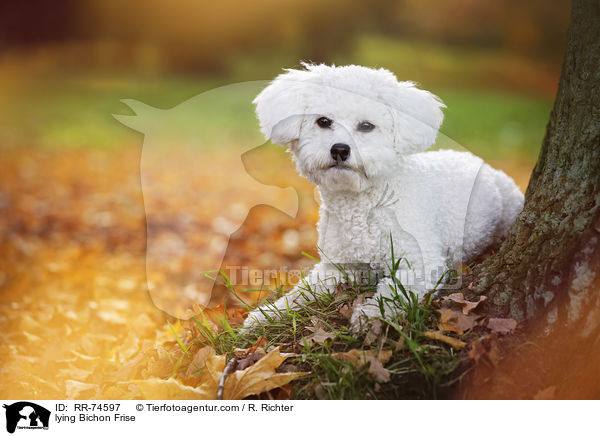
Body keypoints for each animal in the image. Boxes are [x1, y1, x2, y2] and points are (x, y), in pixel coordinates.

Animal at [241, 63, 524, 330]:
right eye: (323, 121)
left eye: (366, 126)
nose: (340, 149)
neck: (362, 206)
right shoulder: (336, 267)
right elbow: (299, 294)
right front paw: (265, 316)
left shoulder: (420, 264)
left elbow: (392, 292)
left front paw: (370, 315)